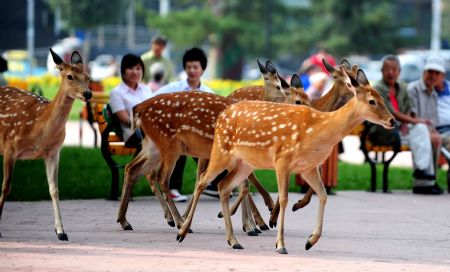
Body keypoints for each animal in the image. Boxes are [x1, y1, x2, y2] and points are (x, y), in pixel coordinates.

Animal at [0, 49, 91, 240]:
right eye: (70, 76)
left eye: (87, 76)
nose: (88, 94)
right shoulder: (10, 147)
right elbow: (6, 187)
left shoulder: (53, 152)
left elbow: (54, 189)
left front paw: (61, 232)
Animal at [178, 63, 396, 253]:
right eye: (372, 101)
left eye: (383, 99)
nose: (392, 120)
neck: (319, 129)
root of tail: (224, 113)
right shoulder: (282, 160)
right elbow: (283, 199)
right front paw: (280, 245)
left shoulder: (308, 167)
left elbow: (323, 195)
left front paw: (310, 241)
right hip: (221, 152)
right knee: (203, 181)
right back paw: (182, 230)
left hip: (245, 163)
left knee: (223, 186)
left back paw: (234, 240)